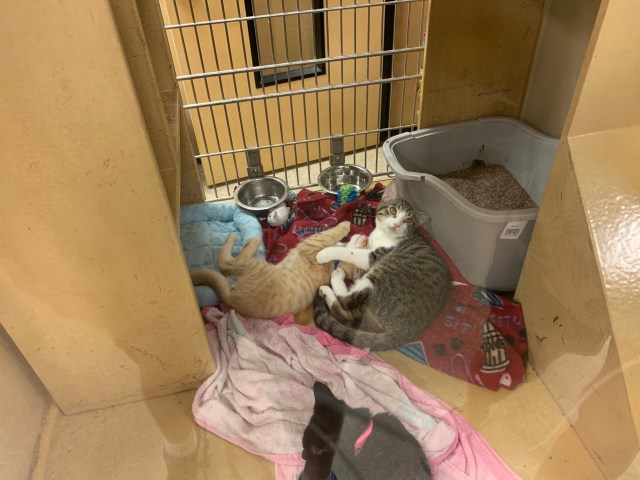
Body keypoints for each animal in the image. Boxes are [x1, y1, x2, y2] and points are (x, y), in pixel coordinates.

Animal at [190, 221, 355, 318]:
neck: (334, 264)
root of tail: (232, 301)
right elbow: (330, 237)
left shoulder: (311, 245)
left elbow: (328, 235)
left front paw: (345, 225)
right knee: (227, 265)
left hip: (253, 265)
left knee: (226, 262)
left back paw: (249, 239)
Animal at [312, 197, 452, 351]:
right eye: (393, 210)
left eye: (408, 220)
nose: (397, 224)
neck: (383, 235)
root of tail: (404, 332)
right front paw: (342, 242)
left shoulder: (375, 256)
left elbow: (352, 253)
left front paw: (326, 252)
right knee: (351, 317)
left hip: (384, 273)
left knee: (348, 302)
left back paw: (333, 280)